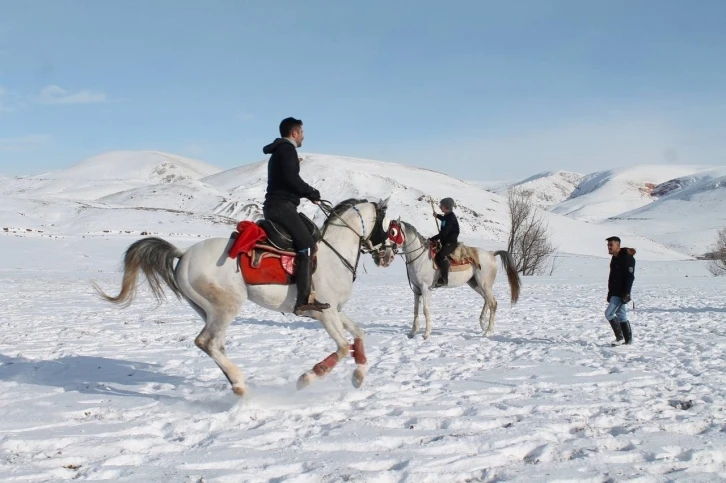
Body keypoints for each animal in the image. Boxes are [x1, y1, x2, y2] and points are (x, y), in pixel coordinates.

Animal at [97, 199, 396, 396]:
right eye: (384, 224)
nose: (388, 255)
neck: (335, 254)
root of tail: (184, 255)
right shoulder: (325, 312)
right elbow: (344, 347)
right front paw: (309, 378)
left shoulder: (335, 311)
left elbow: (358, 334)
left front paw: (359, 376)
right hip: (226, 306)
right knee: (206, 342)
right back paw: (240, 384)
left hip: (209, 310)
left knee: (216, 345)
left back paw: (235, 382)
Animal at [372, 219, 520, 340]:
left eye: (393, 232)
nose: (385, 254)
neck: (420, 257)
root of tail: (491, 254)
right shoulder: (416, 289)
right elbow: (415, 310)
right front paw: (413, 333)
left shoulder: (425, 288)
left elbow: (425, 309)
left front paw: (426, 334)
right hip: (475, 284)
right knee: (487, 301)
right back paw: (483, 323)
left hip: (484, 284)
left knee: (493, 303)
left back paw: (488, 331)